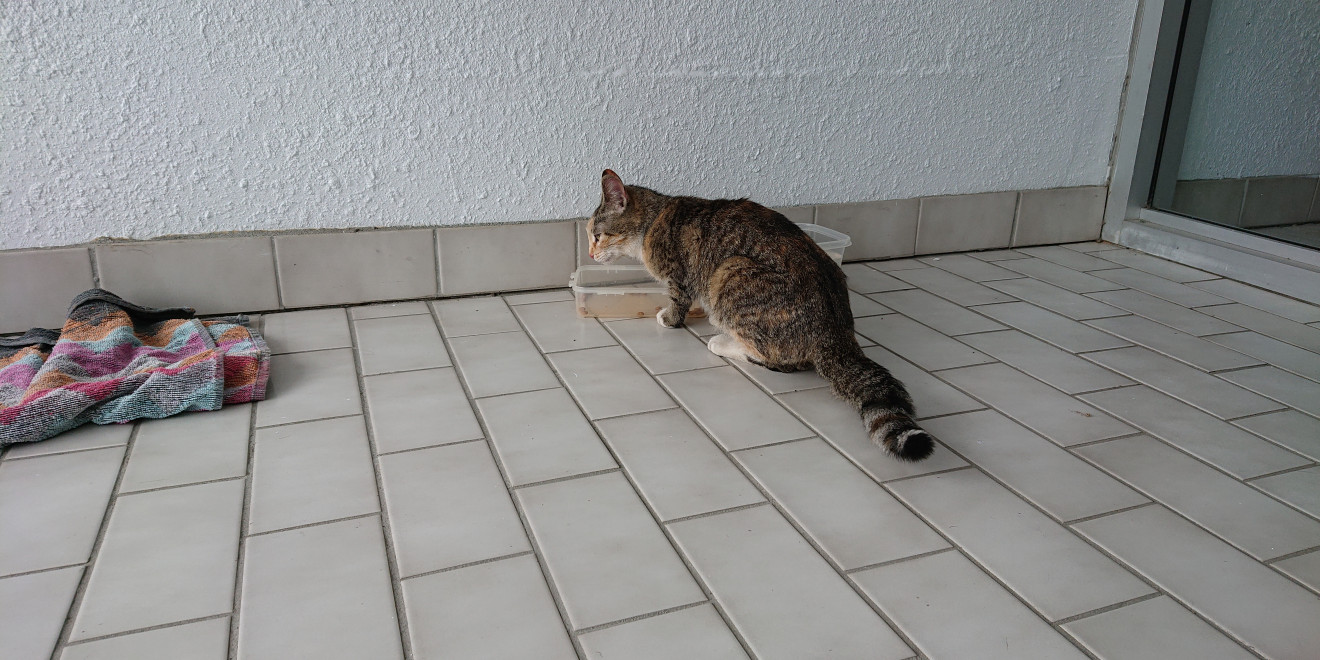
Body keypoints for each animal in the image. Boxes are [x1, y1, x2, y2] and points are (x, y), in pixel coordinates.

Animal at [586, 169, 934, 461]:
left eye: (597, 235)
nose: (590, 253)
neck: (653, 220)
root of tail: (837, 330)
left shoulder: (678, 277)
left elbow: (677, 300)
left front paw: (668, 317)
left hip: (729, 272)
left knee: (774, 359)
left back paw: (721, 341)